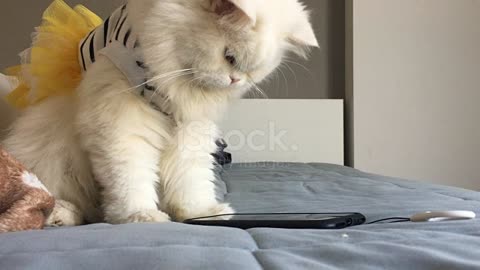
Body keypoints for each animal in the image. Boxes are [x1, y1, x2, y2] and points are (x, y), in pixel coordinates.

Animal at [4, 0, 318, 225]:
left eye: (255, 72)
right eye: (230, 57)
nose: (235, 80)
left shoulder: (190, 131)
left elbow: (190, 180)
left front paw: (201, 212)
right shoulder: (121, 123)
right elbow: (130, 176)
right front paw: (141, 216)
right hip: (52, 151)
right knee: (52, 195)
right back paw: (60, 216)